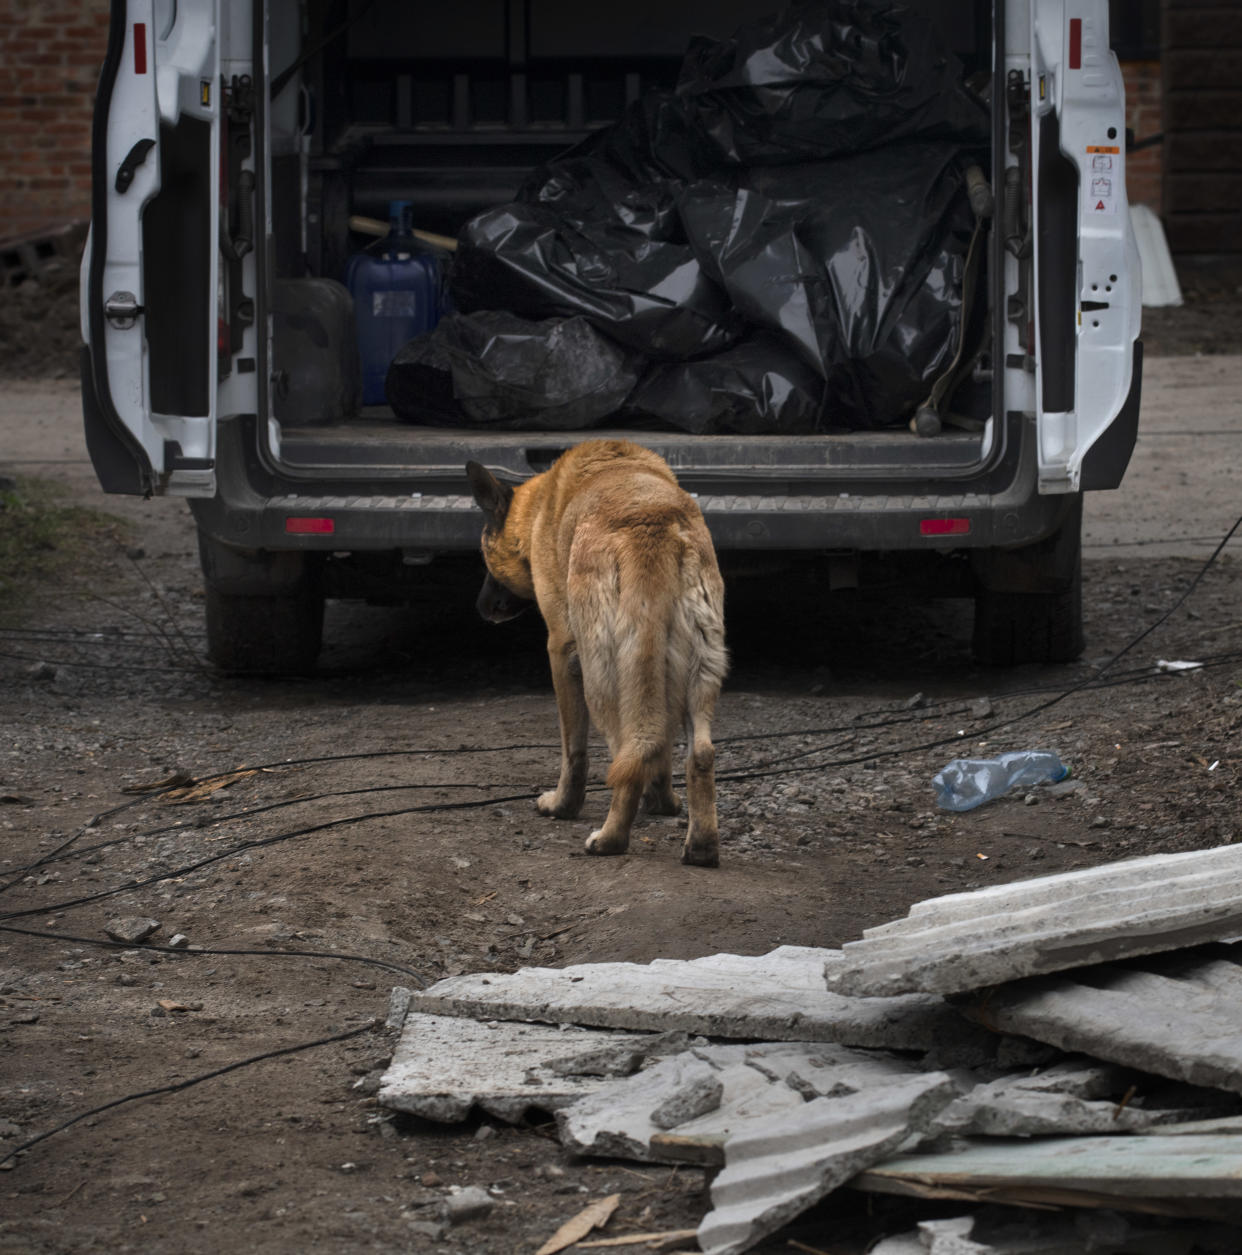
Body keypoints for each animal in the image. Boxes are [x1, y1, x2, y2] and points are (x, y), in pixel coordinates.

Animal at [471, 441, 732, 863]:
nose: (481, 607)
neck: (540, 508)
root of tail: (653, 524)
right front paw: (662, 802)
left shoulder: (561, 652)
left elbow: (573, 751)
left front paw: (562, 805)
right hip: (698, 671)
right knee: (694, 752)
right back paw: (702, 846)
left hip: (602, 676)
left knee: (626, 752)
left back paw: (610, 838)